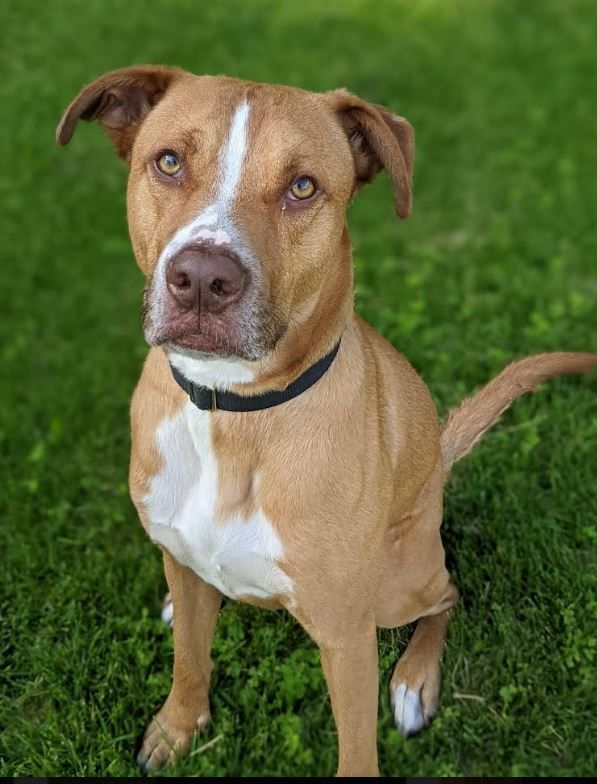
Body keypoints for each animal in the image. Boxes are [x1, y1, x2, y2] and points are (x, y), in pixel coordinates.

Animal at [57, 69, 596, 776]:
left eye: (303, 186)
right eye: (169, 162)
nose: (200, 278)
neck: (231, 411)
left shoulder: (346, 636)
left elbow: (356, 746)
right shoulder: (181, 554)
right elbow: (189, 663)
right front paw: (177, 728)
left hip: (399, 584)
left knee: (447, 594)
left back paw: (414, 680)